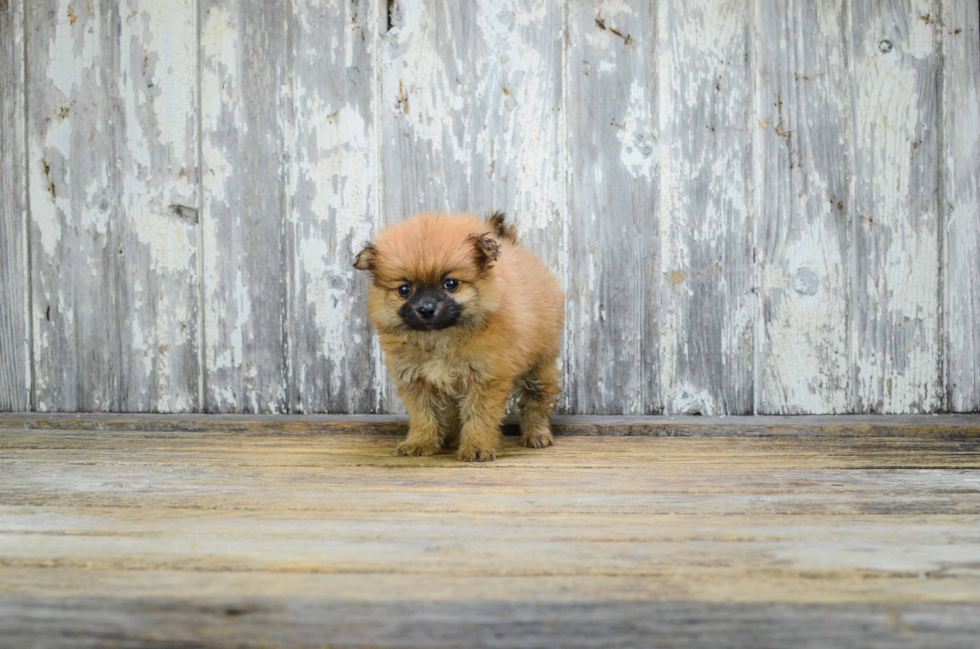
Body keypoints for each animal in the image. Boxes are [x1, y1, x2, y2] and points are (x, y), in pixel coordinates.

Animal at [356, 210, 564, 458]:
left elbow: (479, 415)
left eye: (451, 284)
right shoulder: (417, 380)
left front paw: (476, 446)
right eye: (404, 289)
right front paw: (421, 442)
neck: (440, 336)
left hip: (540, 365)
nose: (426, 309)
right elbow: (423, 414)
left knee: (537, 401)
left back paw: (537, 434)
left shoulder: (486, 378)